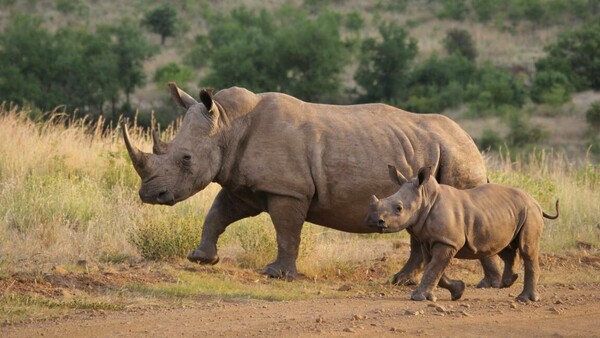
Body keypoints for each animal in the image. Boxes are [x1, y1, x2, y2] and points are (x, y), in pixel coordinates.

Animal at [123, 82, 502, 286]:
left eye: (186, 159)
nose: (150, 194)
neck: (228, 125)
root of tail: (470, 140)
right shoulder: (242, 185)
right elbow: (217, 214)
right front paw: (201, 258)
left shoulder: (287, 190)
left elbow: (286, 231)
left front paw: (276, 274)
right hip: (434, 156)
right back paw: (402, 281)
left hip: (456, 157)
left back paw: (489, 283)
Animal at [366, 165, 556, 302]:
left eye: (399, 208)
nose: (374, 221)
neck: (426, 198)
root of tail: (535, 201)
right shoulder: (430, 240)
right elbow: (434, 268)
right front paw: (458, 291)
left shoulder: (447, 241)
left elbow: (433, 268)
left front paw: (418, 297)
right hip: (509, 213)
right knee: (504, 246)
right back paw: (508, 282)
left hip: (530, 212)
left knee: (526, 249)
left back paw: (524, 299)